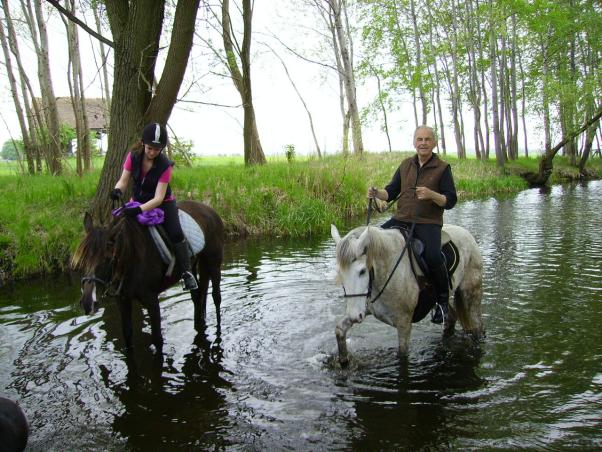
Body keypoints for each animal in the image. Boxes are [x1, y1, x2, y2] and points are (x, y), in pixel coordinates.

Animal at [72, 201, 223, 354]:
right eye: (83, 260)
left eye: (107, 258)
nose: (88, 303)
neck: (132, 258)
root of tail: (208, 209)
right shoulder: (122, 300)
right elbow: (127, 335)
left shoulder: (152, 300)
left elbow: (157, 339)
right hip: (194, 265)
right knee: (198, 297)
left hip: (213, 262)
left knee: (216, 297)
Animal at [330, 224, 480, 366]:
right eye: (340, 273)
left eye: (362, 271)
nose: (354, 316)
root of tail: (466, 233)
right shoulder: (367, 308)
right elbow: (339, 330)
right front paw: (343, 361)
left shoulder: (404, 324)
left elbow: (402, 356)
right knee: (451, 318)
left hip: (471, 295)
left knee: (477, 327)